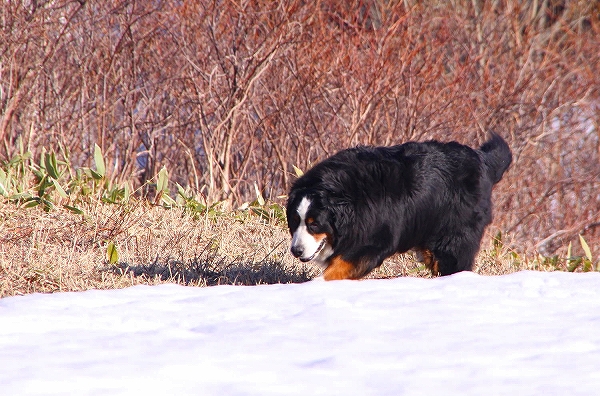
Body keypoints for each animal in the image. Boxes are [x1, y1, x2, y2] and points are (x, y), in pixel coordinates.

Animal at [286, 134, 510, 282]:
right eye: (295, 222)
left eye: (314, 225)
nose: (296, 251)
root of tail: (482, 160)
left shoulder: (375, 238)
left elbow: (341, 265)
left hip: (453, 235)